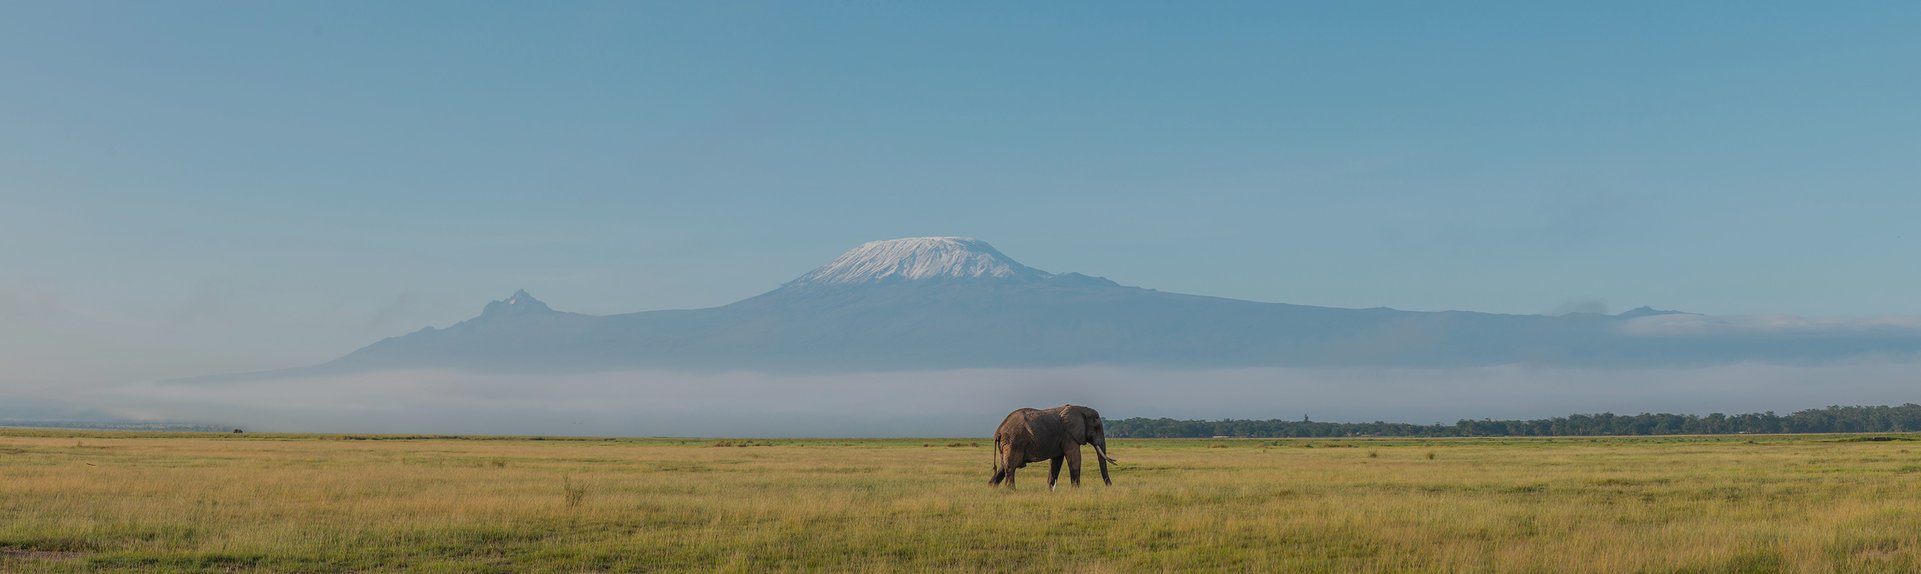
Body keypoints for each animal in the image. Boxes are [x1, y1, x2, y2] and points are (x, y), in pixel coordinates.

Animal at [983, 405, 1121, 489]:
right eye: (1096, 427)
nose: (1110, 486)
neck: (1080, 408)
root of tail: (999, 431)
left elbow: (1056, 461)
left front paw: (1049, 490)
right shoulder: (1069, 435)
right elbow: (1074, 458)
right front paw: (1076, 490)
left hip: (1007, 444)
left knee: (1003, 467)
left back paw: (992, 488)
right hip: (1014, 442)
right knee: (1011, 467)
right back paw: (1011, 491)